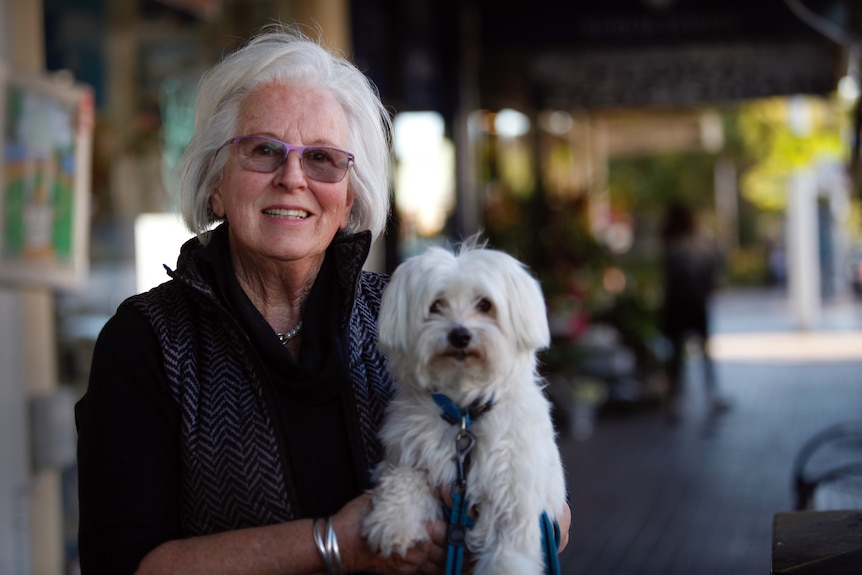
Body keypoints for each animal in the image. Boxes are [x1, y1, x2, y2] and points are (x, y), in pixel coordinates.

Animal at [362, 241, 572, 575]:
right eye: (436, 305)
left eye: (485, 305)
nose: (459, 335)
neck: (464, 413)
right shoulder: (413, 456)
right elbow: (404, 478)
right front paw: (393, 522)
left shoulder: (511, 501)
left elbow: (506, 560)